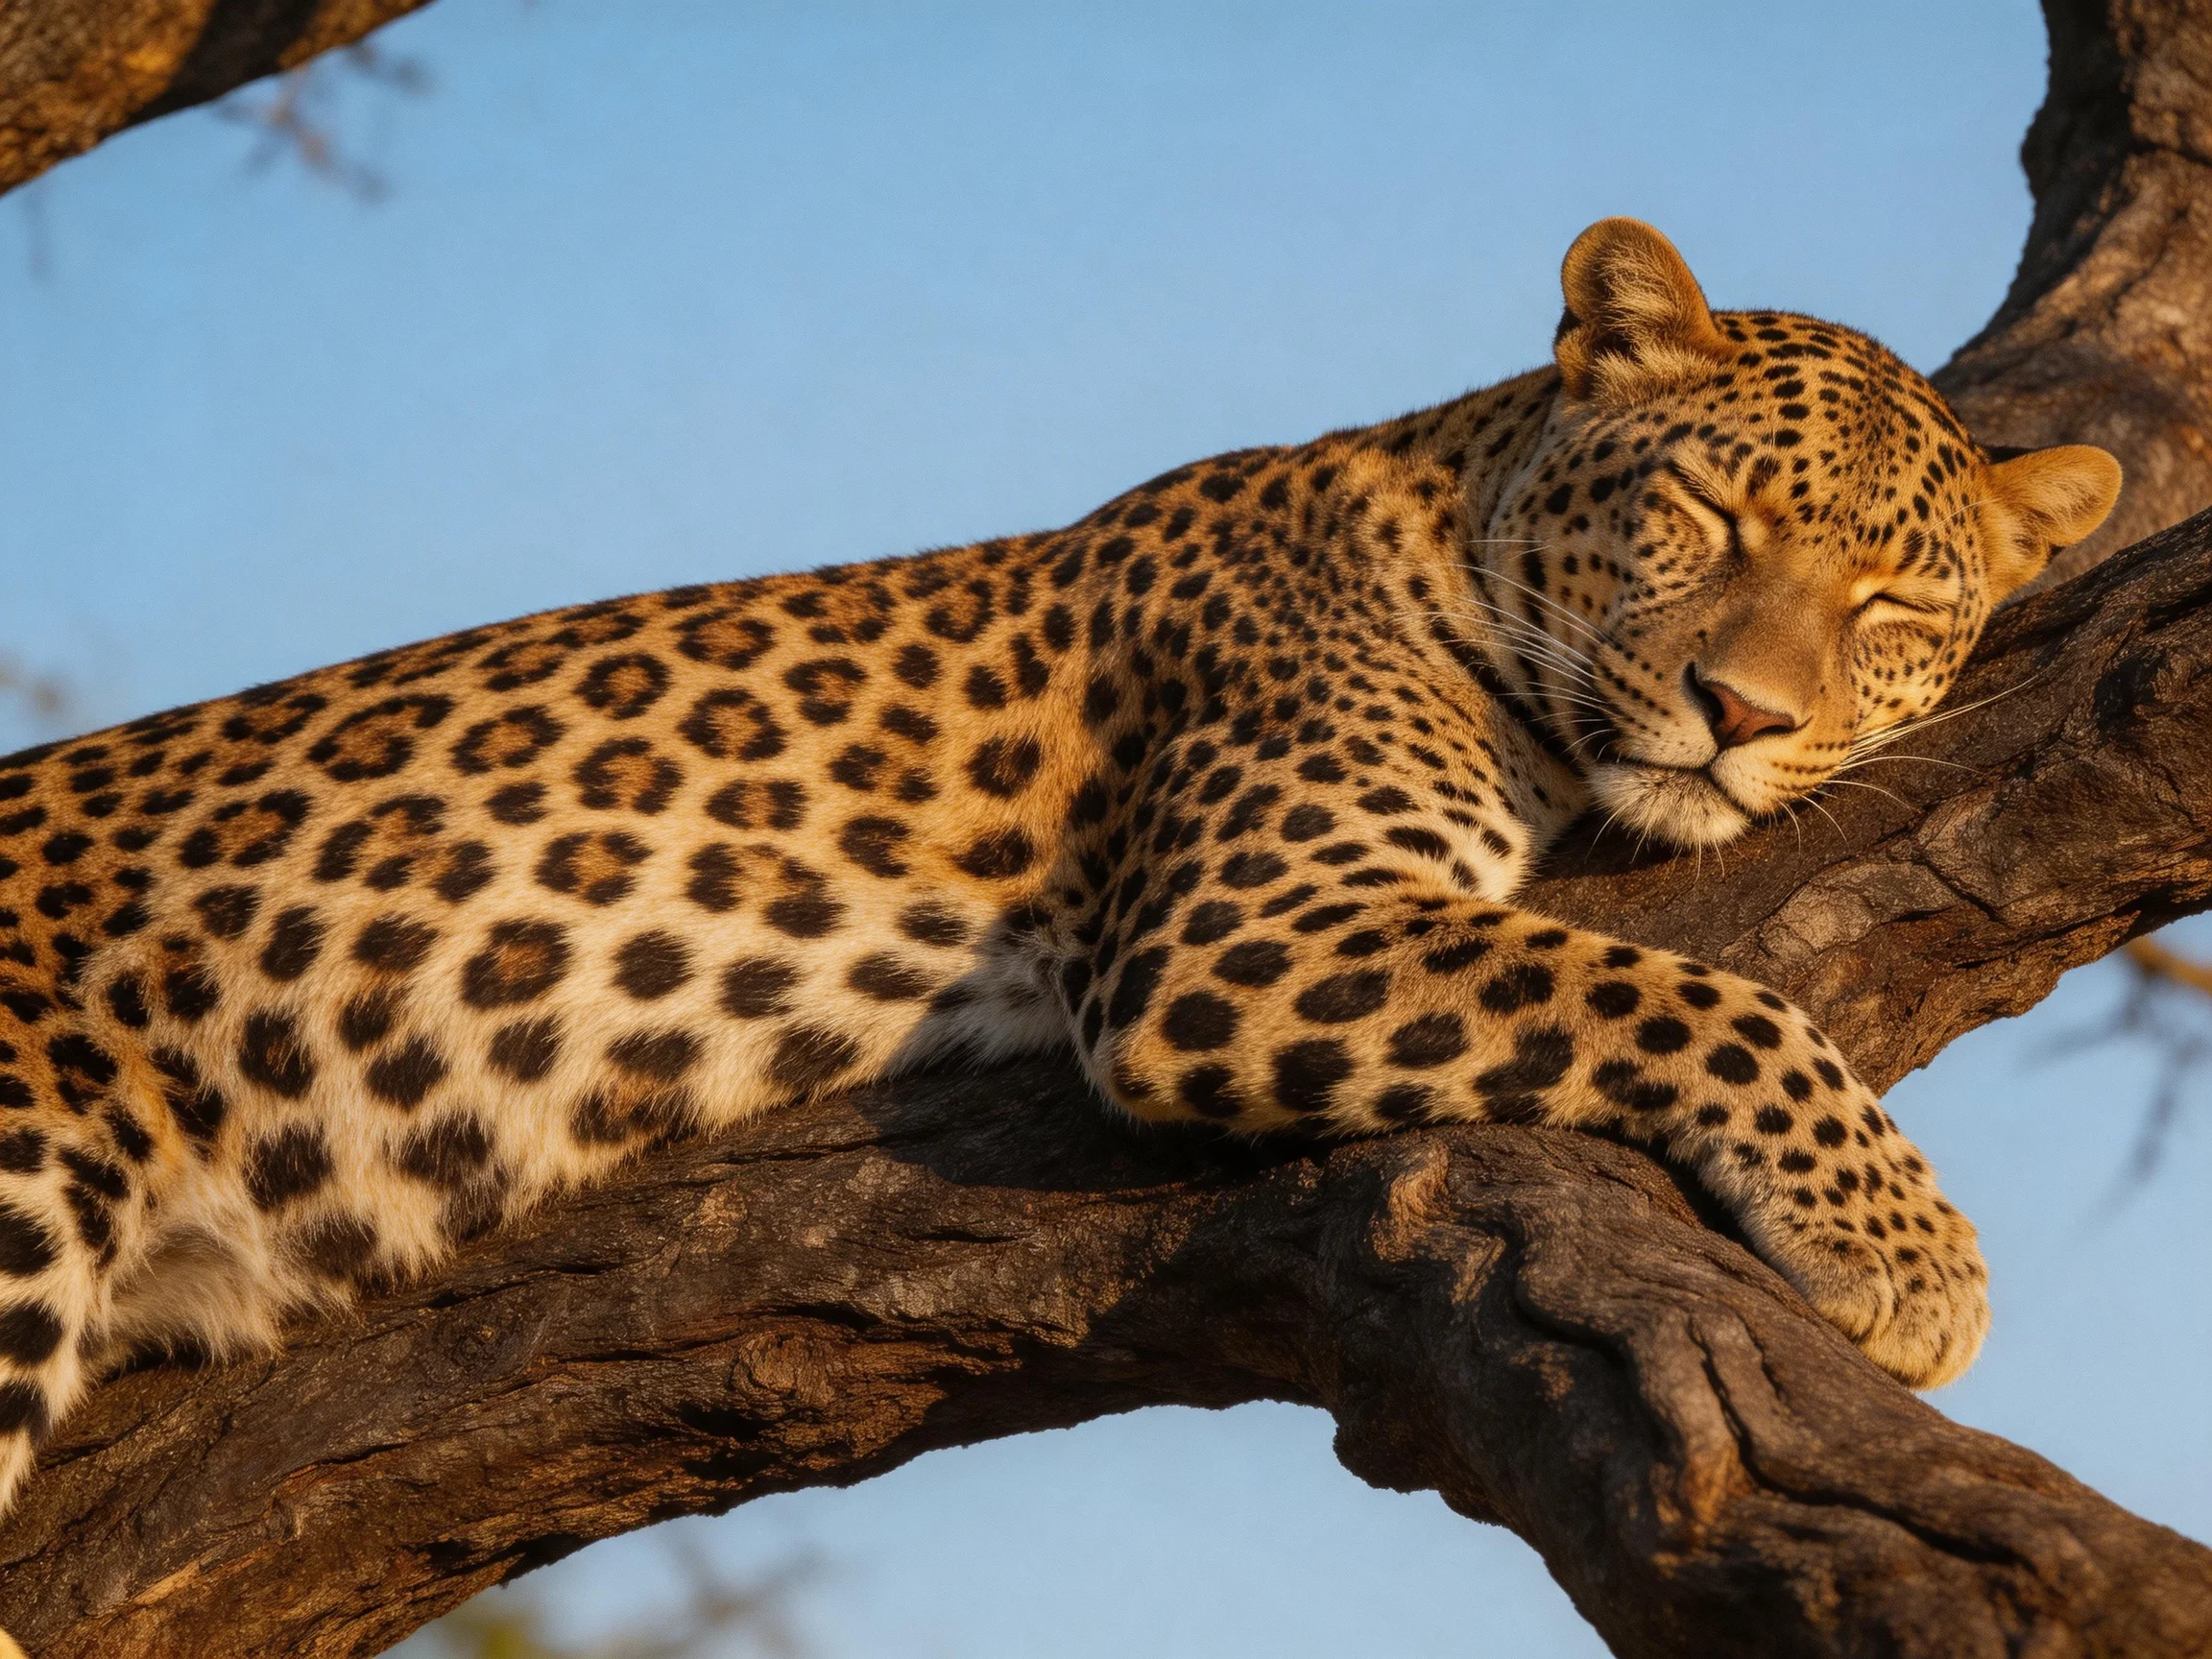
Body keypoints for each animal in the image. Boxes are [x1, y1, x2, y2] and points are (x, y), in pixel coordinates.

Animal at [0, 218, 2121, 1527]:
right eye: (1704, 509)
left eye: (1894, 600)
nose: (1737, 710)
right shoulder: (1239, 938)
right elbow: (1699, 990)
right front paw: (1911, 1253)